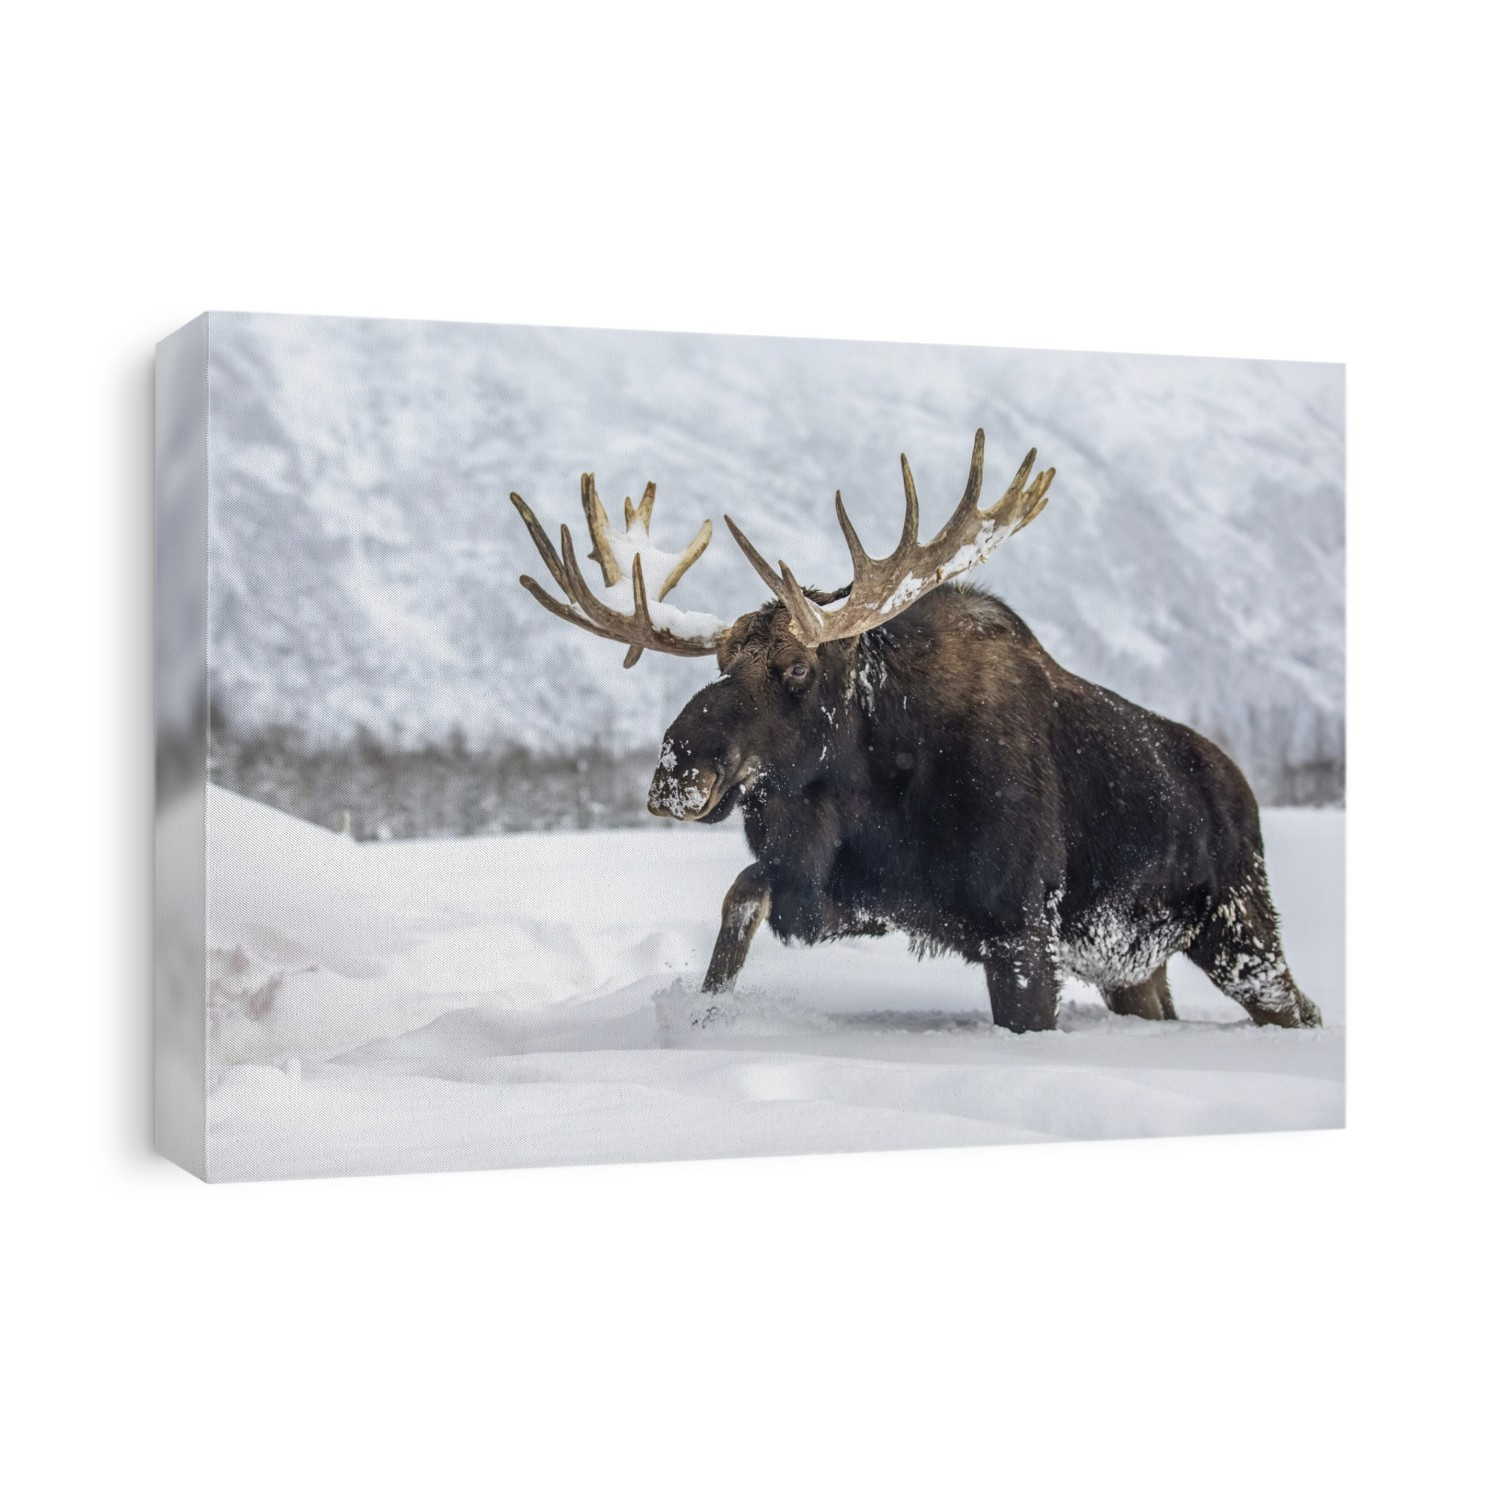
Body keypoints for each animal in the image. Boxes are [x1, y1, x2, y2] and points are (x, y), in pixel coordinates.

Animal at [509, 432, 1321, 1032]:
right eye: (721, 660)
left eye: (798, 668)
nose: (677, 770)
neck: (880, 791)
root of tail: (1242, 788)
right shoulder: (857, 895)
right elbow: (744, 894)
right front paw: (705, 1013)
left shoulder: (1023, 931)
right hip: (1134, 963)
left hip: (1240, 926)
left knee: (1299, 1007)